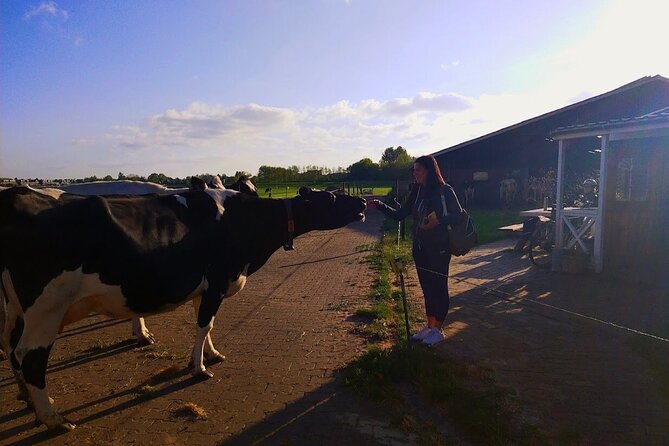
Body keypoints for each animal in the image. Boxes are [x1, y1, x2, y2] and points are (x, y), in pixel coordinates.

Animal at [0, 184, 366, 428]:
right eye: (331, 197)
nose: (364, 201)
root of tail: (16, 193)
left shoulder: (206, 288)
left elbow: (208, 324)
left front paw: (213, 354)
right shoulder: (217, 280)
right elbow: (204, 324)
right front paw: (199, 368)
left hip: (15, 307)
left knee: (10, 348)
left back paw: (28, 400)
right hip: (46, 309)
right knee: (29, 355)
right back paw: (53, 418)